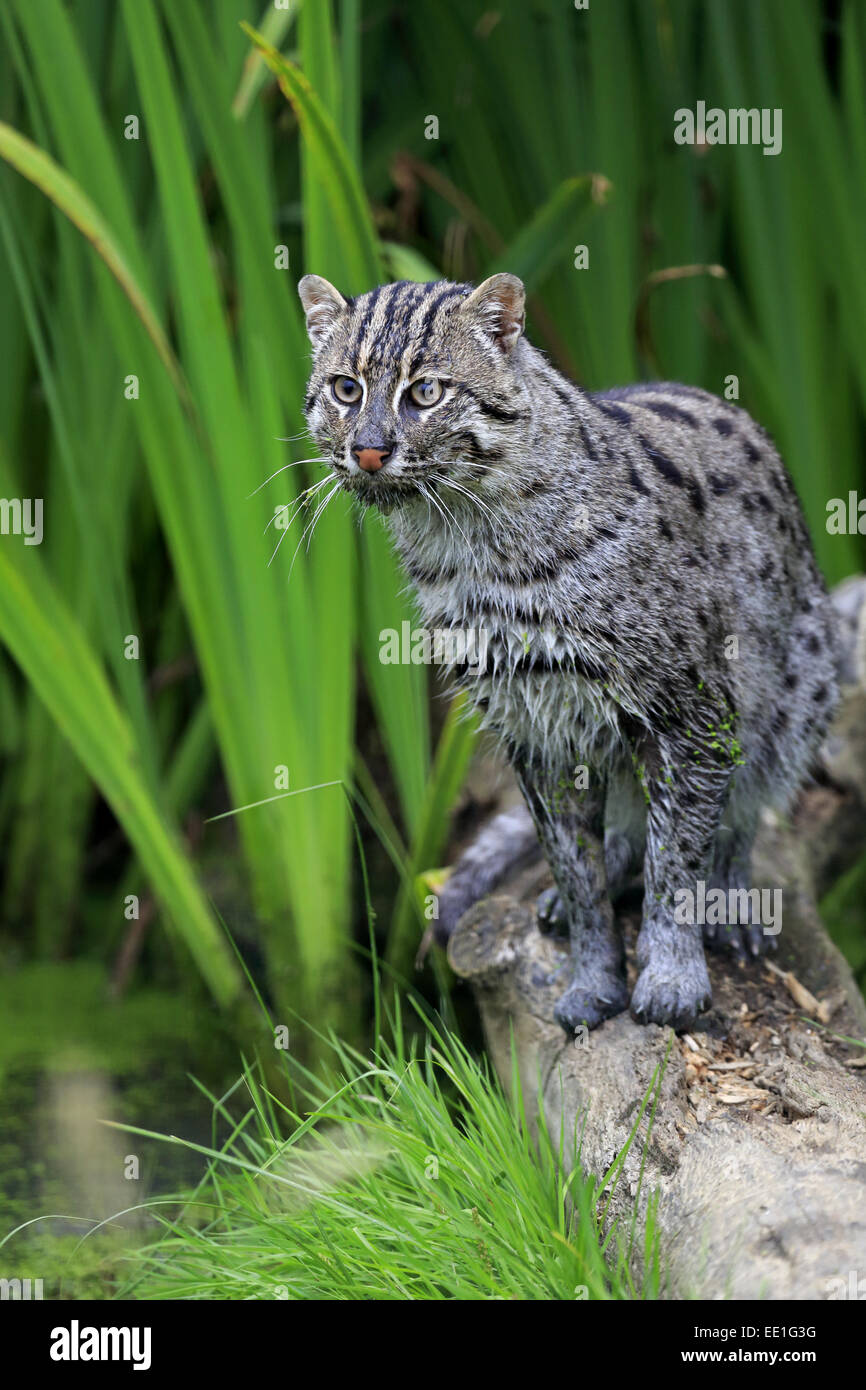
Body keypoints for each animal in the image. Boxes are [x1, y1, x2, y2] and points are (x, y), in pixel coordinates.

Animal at [297, 271, 839, 1034]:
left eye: (425, 391)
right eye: (345, 388)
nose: (369, 450)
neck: (468, 549)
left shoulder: (694, 709)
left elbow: (679, 861)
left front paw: (672, 978)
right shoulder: (535, 729)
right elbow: (573, 868)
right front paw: (593, 979)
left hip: (801, 685)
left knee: (747, 804)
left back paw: (728, 898)